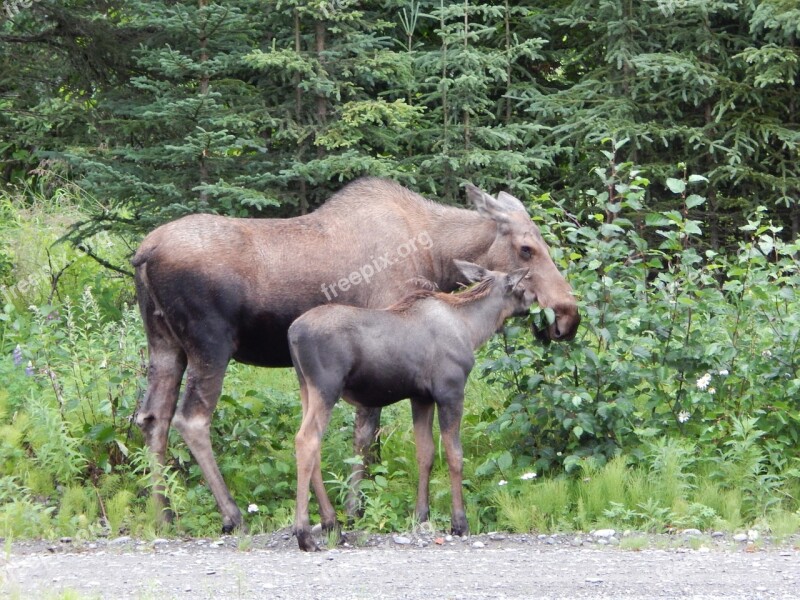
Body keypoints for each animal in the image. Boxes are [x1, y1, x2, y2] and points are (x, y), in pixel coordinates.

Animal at [290, 260, 536, 552]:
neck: (472, 328)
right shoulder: (450, 391)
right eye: (521, 286)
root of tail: (292, 333)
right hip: (326, 387)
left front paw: (421, 515)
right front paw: (459, 522)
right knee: (306, 440)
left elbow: (425, 453)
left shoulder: (421, 398)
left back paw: (333, 527)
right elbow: (454, 455)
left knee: (313, 445)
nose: (535, 298)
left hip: (306, 388)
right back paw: (305, 535)